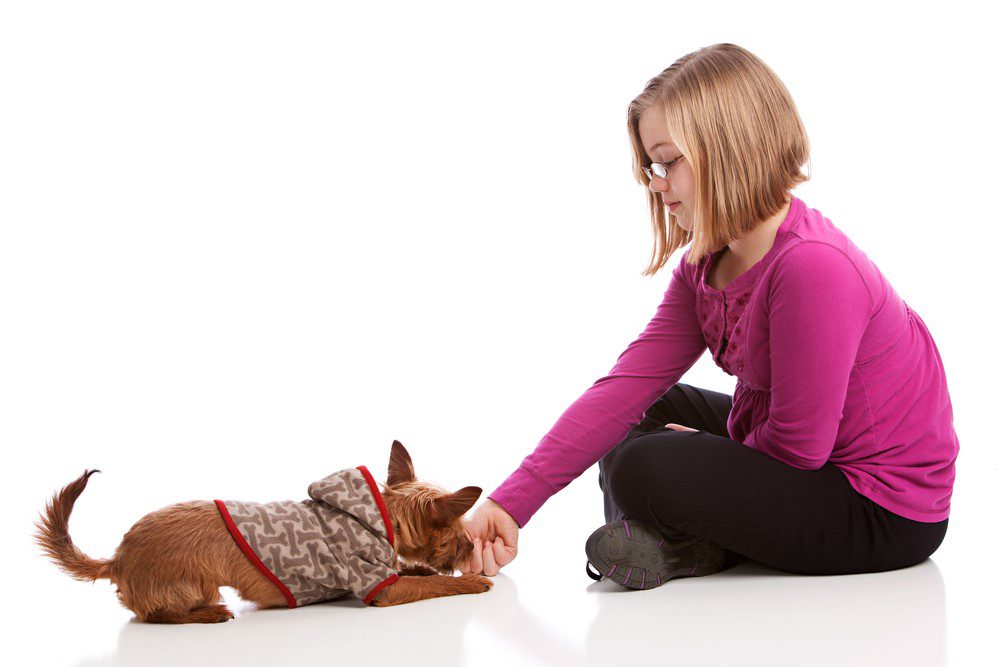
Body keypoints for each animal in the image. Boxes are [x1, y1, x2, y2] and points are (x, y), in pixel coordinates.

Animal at [34, 440, 492, 624]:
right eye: (459, 536)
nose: (473, 545)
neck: (379, 517)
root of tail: (119, 559)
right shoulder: (382, 588)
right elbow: (433, 585)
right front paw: (472, 581)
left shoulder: (387, 574)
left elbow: (418, 572)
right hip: (195, 581)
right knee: (157, 615)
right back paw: (209, 614)